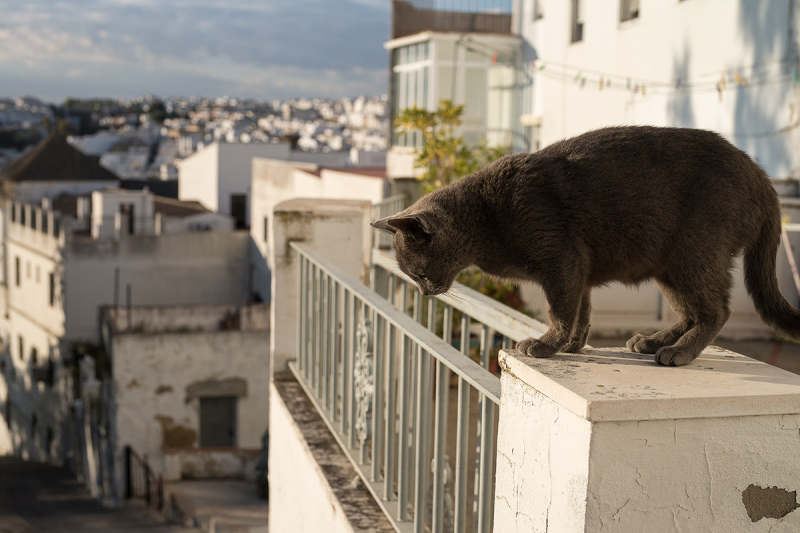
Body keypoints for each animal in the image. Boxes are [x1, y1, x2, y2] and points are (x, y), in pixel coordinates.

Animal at [376, 125, 800, 366]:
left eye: (418, 273)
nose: (424, 292)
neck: (483, 214)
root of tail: (762, 178)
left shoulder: (561, 260)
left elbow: (561, 309)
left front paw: (546, 345)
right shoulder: (578, 269)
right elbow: (581, 310)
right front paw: (572, 346)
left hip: (694, 254)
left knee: (716, 311)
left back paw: (679, 352)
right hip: (669, 267)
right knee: (691, 312)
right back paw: (652, 341)